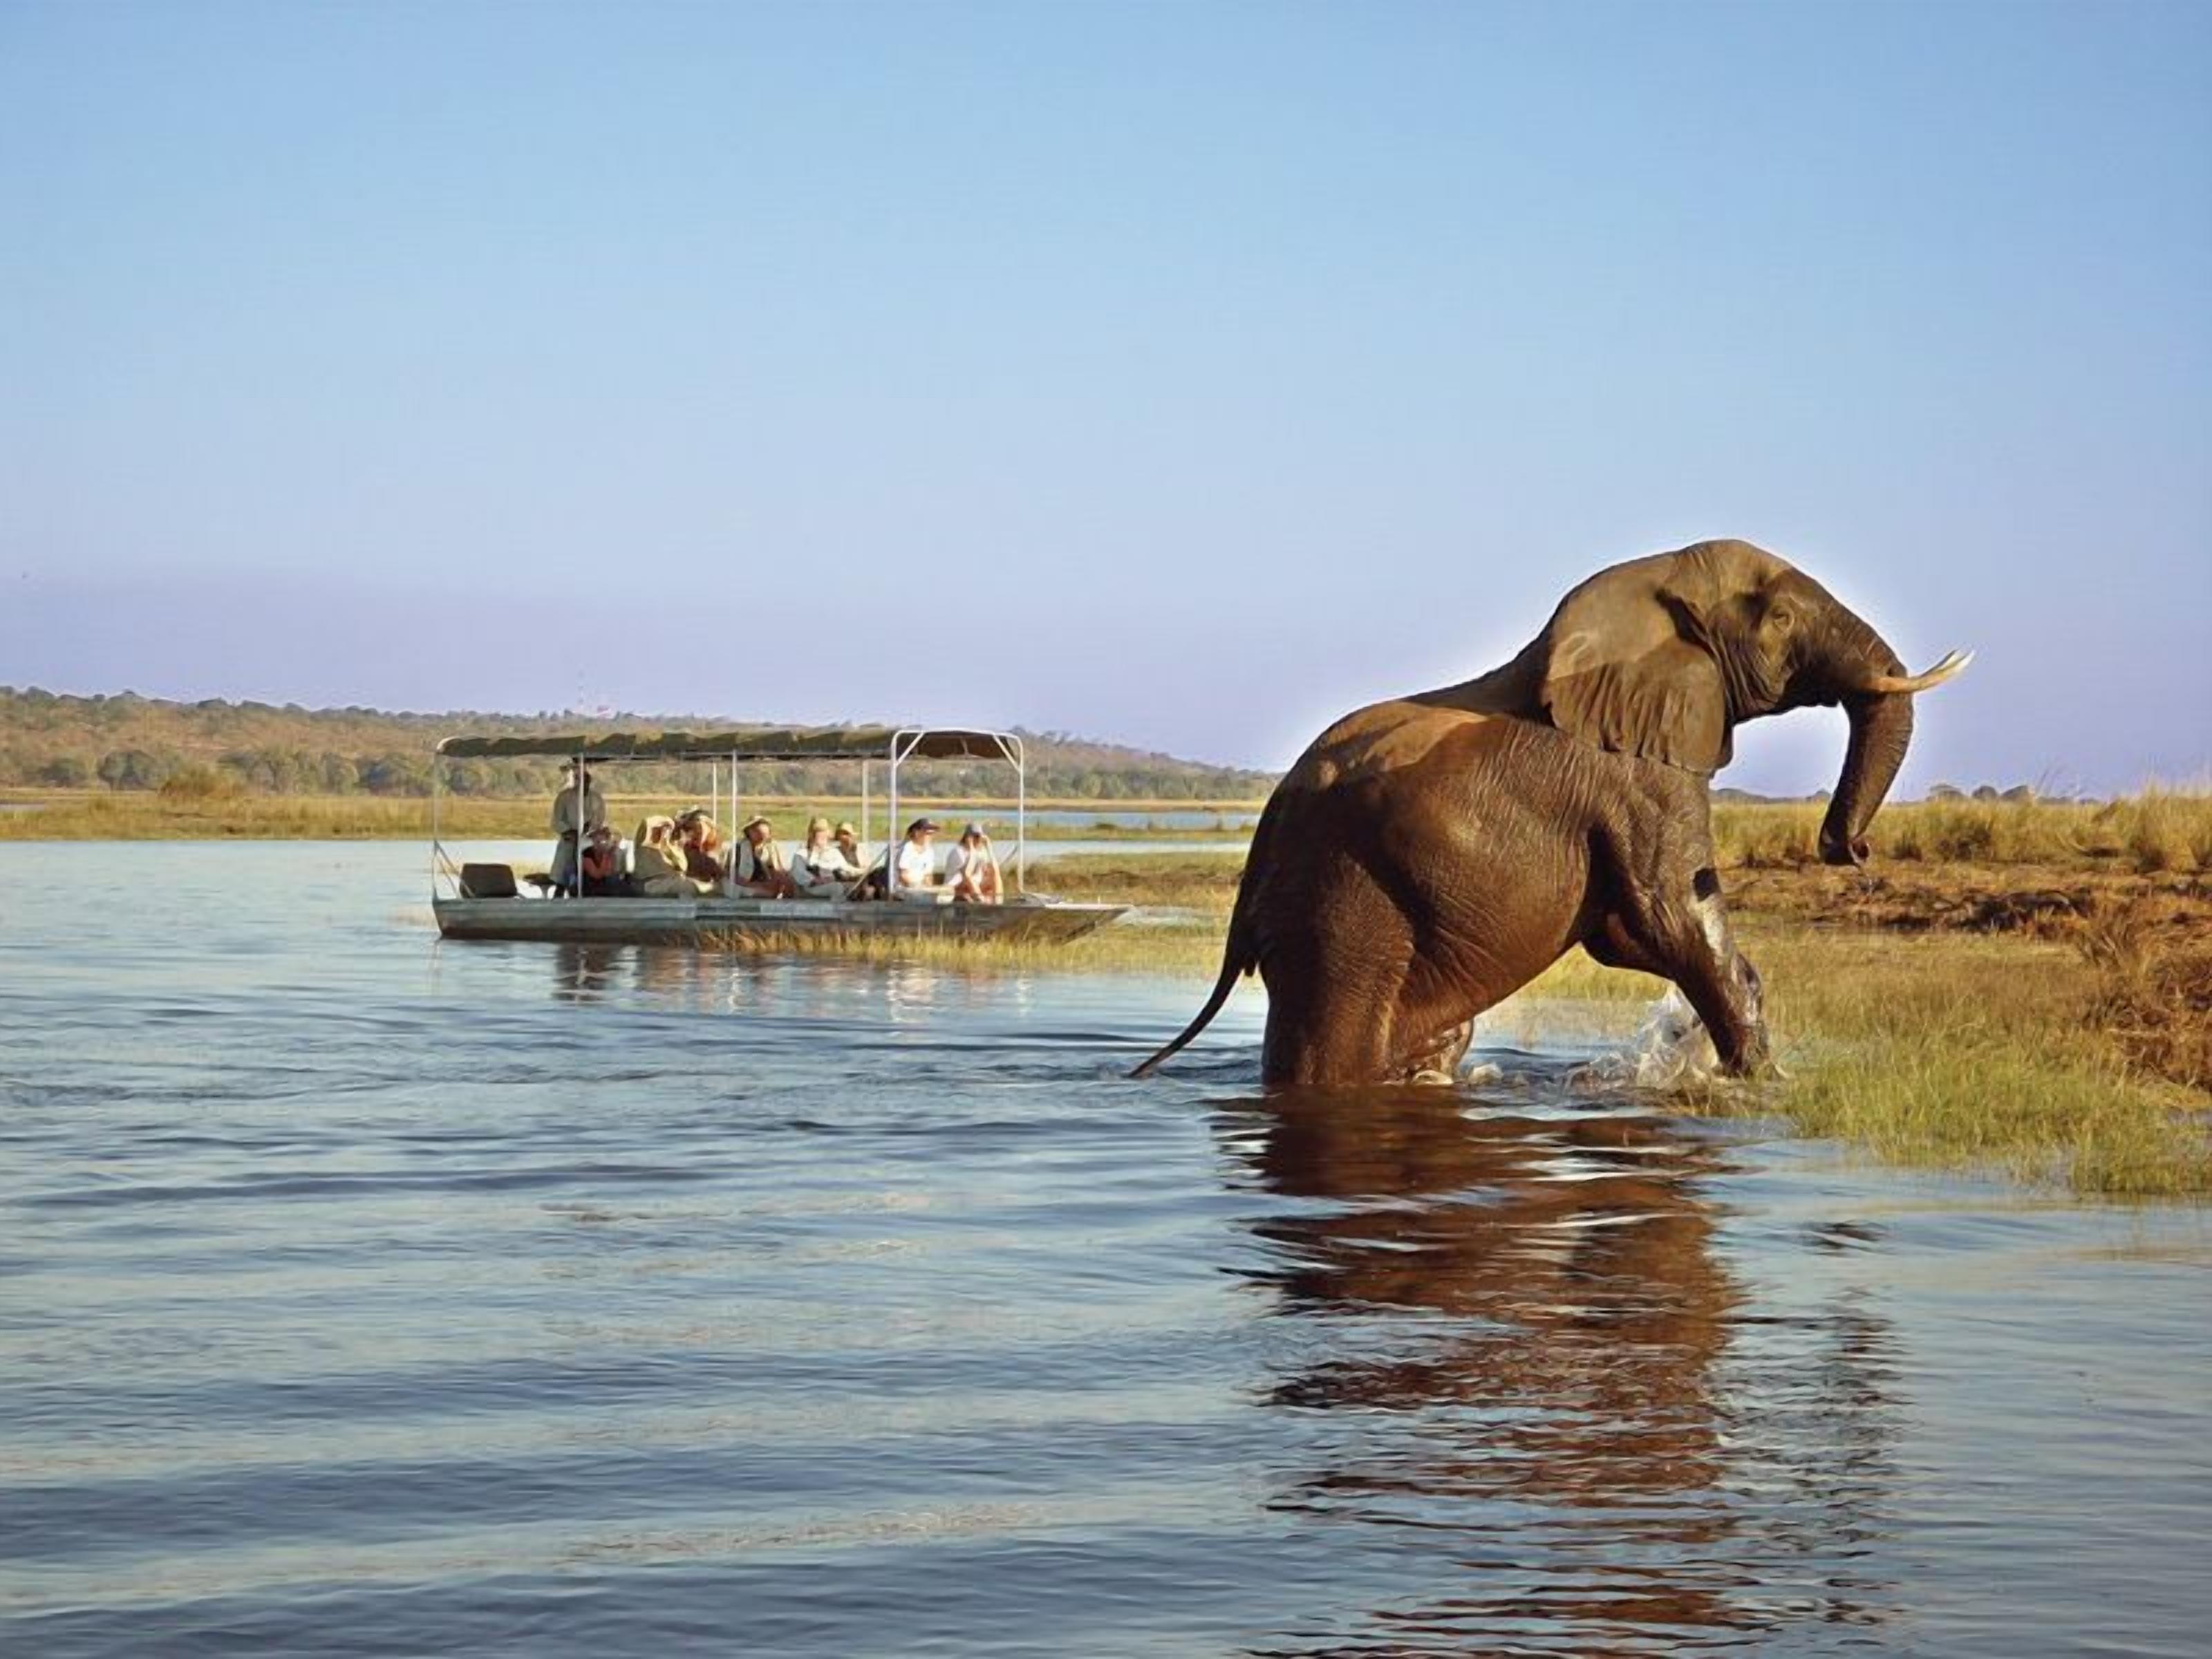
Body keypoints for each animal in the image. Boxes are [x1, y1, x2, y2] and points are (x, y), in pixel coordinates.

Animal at [1134, 539, 1969, 1086]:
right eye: (1784, 618)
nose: (1850, 850)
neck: (1650, 586)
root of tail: (1260, 846)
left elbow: (1626, 933)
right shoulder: (1637, 775)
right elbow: (1670, 918)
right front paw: (1760, 1086)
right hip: (1339, 907)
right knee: (1334, 1047)